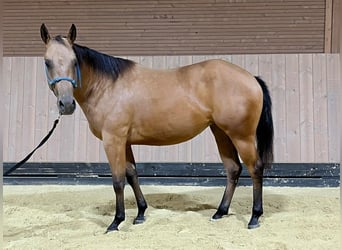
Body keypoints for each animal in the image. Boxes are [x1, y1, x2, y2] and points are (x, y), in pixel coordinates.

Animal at [40, 23, 276, 232]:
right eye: (47, 62)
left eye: (74, 61)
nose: (66, 104)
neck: (108, 86)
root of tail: (251, 78)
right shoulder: (125, 142)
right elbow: (132, 174)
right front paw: (140, 214)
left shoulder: (113, 140)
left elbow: (117, 181)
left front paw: (116, 222)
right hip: (221, 132)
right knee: (233, 168)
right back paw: (220, 212)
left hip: (241, 136)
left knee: (255, 168)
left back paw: (254, 217)